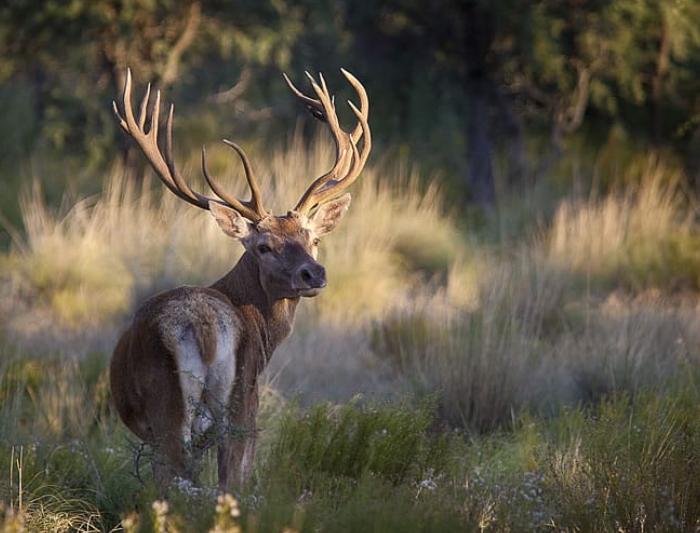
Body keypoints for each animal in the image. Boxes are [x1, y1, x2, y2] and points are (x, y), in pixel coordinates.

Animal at [109, 68, 370, 493]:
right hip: (224, 405)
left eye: (313, 239)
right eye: (264, 246)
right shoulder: (253, 397)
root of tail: (201, 325)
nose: (313, 273)